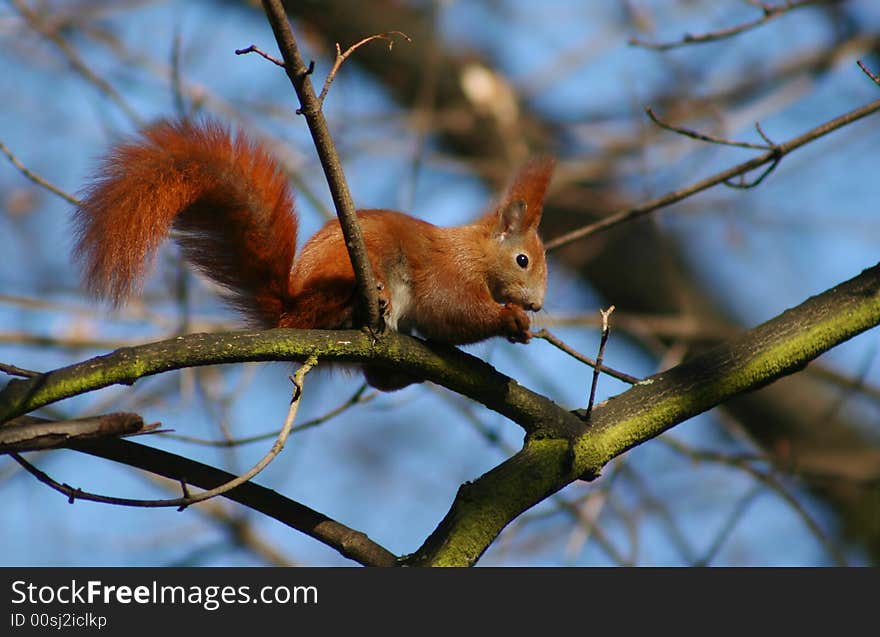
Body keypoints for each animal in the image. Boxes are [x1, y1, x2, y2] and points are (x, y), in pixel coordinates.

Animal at [77, 119, 556, 388]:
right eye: (523, 260)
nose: (536, 304)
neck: (474, 251)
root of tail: (289, 313)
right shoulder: (447, 271)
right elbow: (451, 309)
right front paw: (510, 319)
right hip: (342, 275)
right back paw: (365, 302)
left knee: (378, 378)